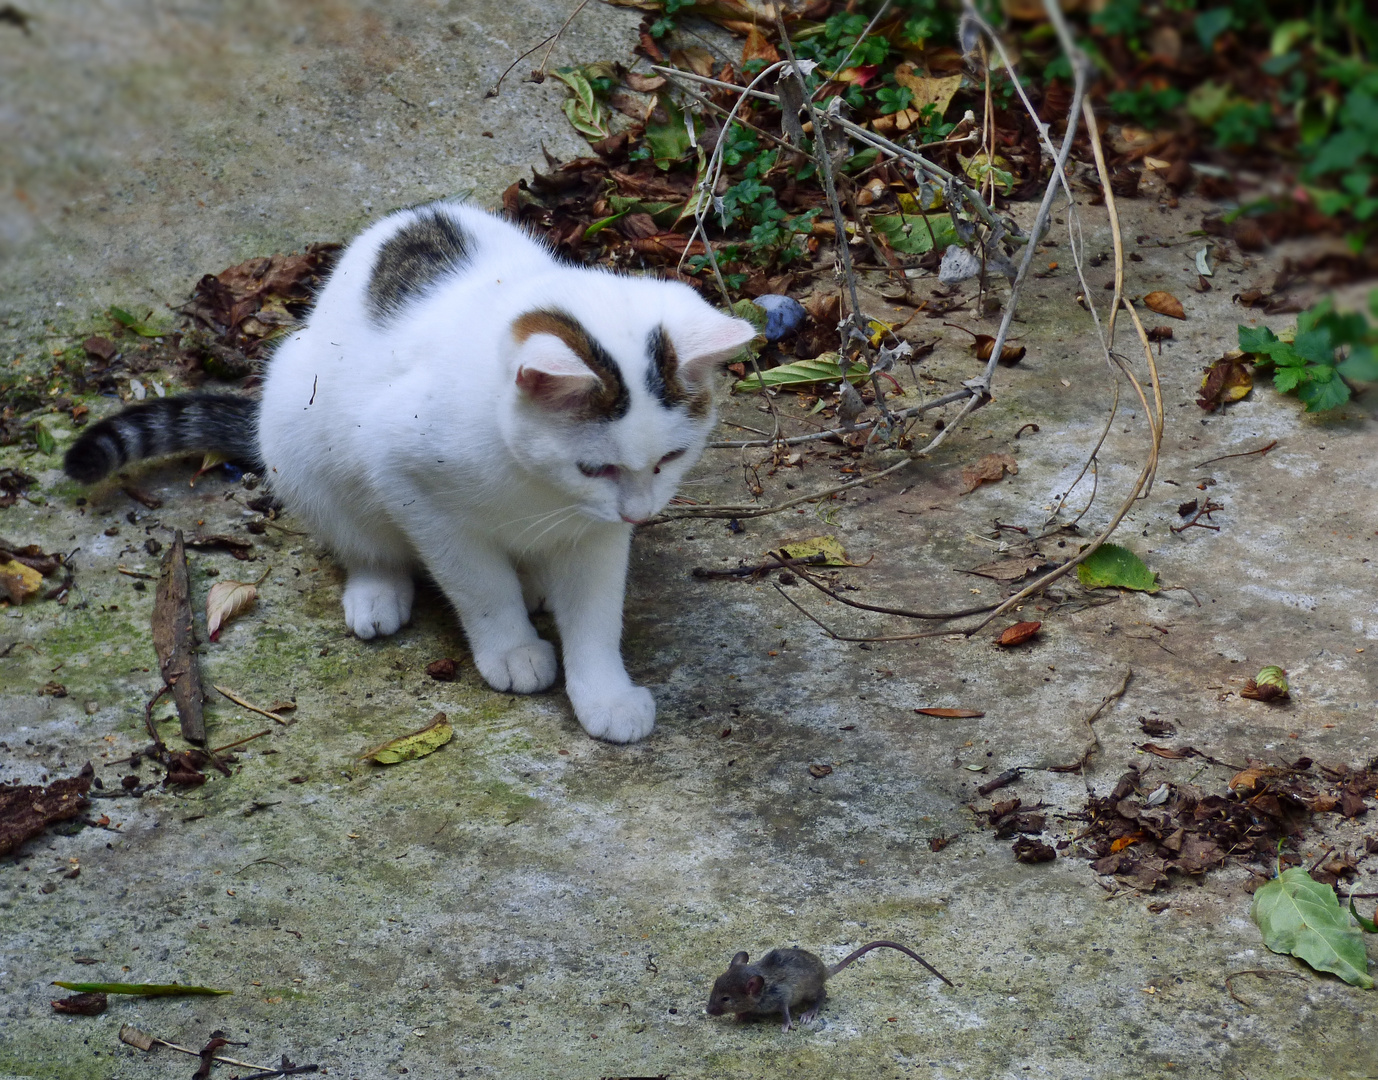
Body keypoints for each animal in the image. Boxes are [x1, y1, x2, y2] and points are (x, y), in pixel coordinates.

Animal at [67, 202, 755, 743]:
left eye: (672, 458)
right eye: (596, 466)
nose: (640, 512)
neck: (538, 488)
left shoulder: (595, 531)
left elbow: (595, 611)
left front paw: (604, 693)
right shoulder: (409, 479)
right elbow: (478, 584)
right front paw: (511, 648)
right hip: (301, 430)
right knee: (365, 541)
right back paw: (379, 590)